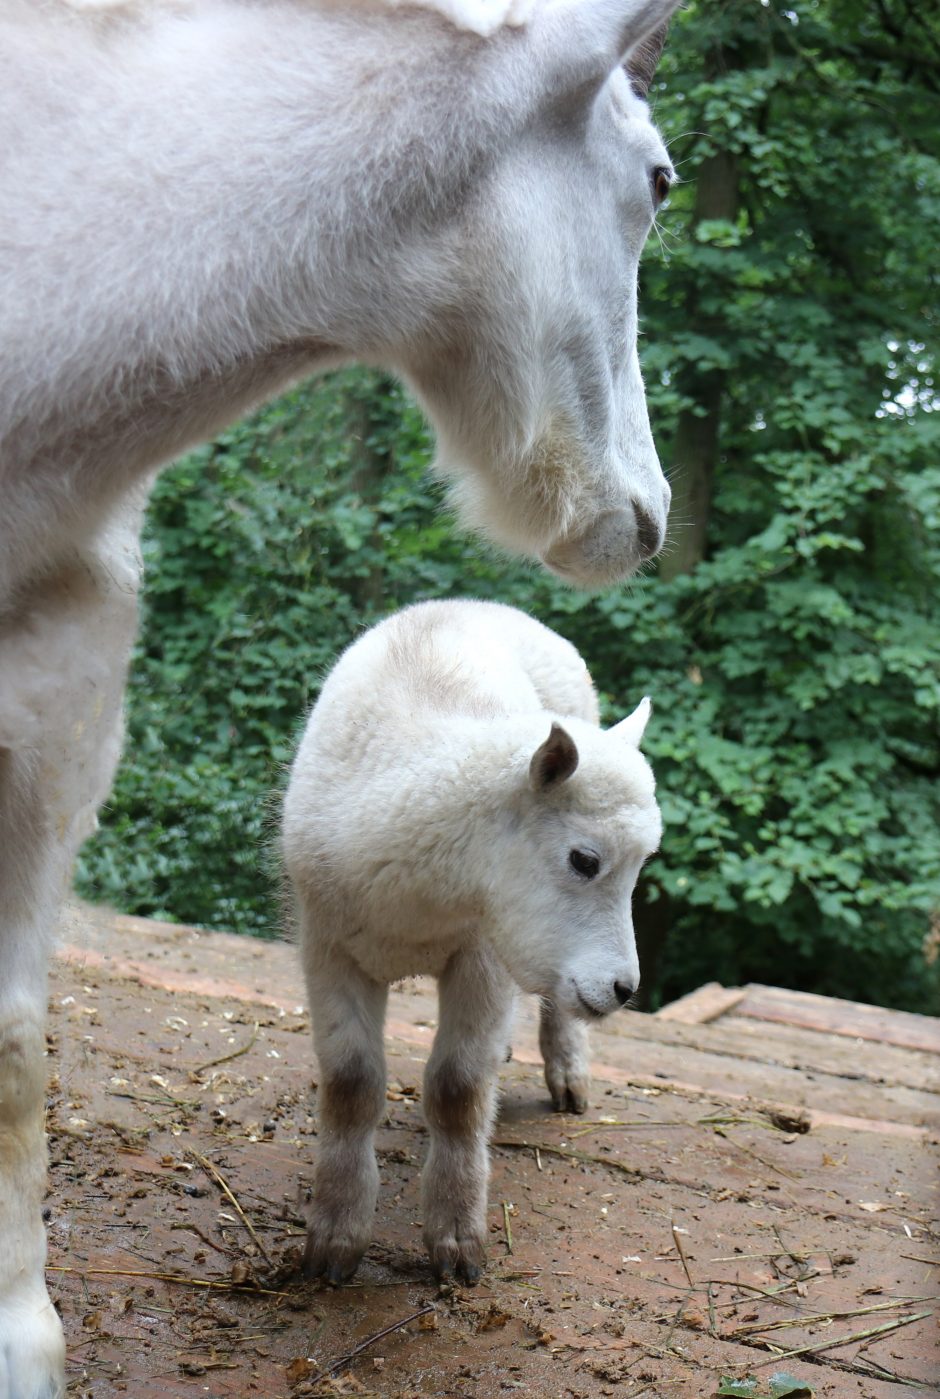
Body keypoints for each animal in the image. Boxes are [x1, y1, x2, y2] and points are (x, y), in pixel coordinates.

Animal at [286, 595, 660, 1281]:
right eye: (584, 860)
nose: (625, 988)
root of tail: (483, 604)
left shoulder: (481, 956)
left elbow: (458, 1088)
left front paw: (457, 1240)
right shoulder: (326, 944)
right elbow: (351, 1083)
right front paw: (335, 1237)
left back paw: (568, 1075)